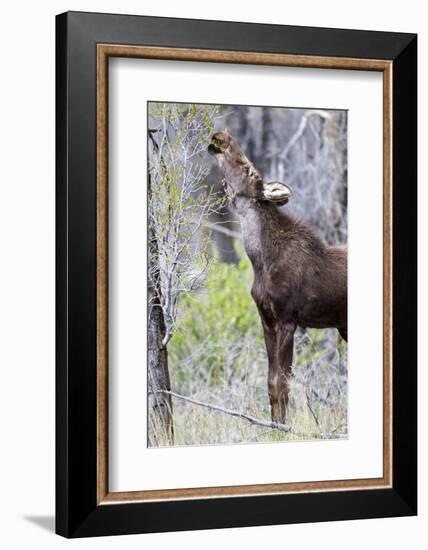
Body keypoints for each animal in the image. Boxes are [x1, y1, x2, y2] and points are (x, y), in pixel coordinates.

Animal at [208, 132, 348, 424]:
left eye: (249, 171)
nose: (222, 137)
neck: (260, 260)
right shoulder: (267, 320)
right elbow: (270, 382)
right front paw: (273, 424)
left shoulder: (287, 320)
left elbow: (282, 383)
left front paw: (283, 426)